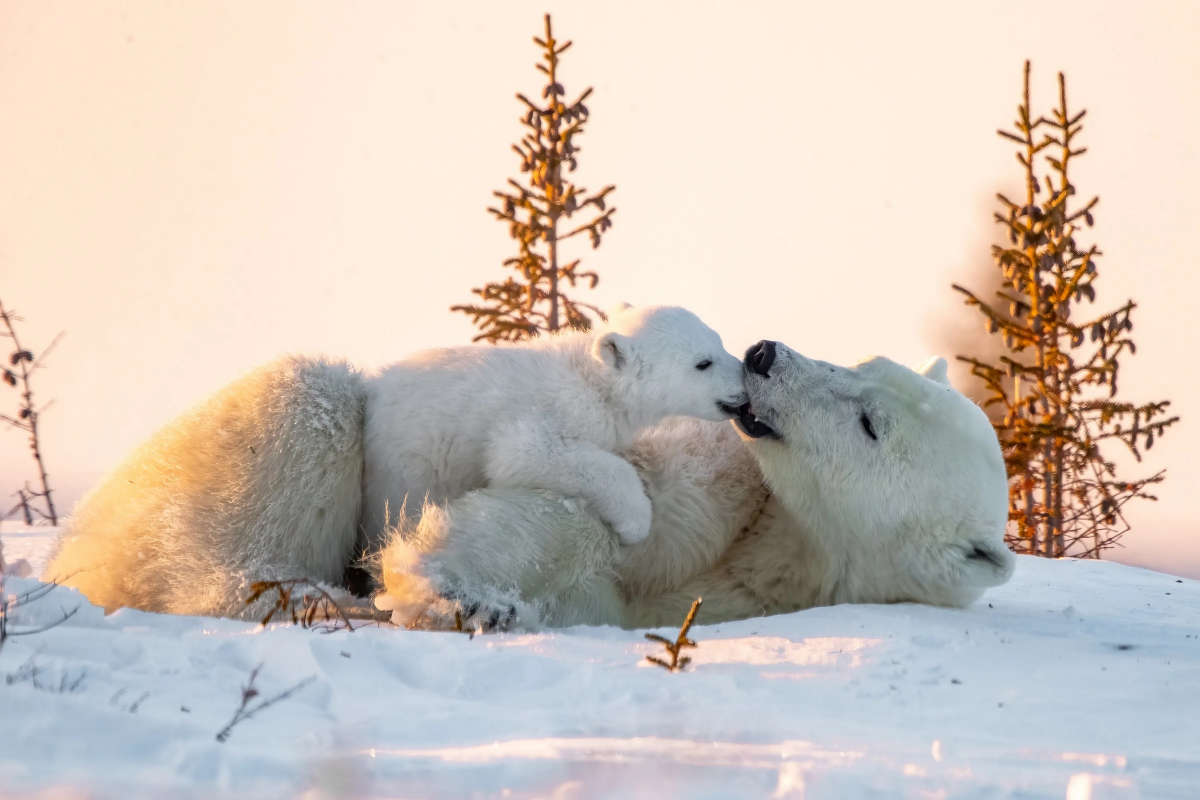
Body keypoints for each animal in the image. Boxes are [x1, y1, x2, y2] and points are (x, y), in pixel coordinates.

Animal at [360, 303, 744, 546]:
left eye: (720, 341)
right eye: (703, 363)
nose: (745, 376)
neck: (593, 380)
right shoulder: (545, 412)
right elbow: (524, 453)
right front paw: (634, 524)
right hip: (409, 465)